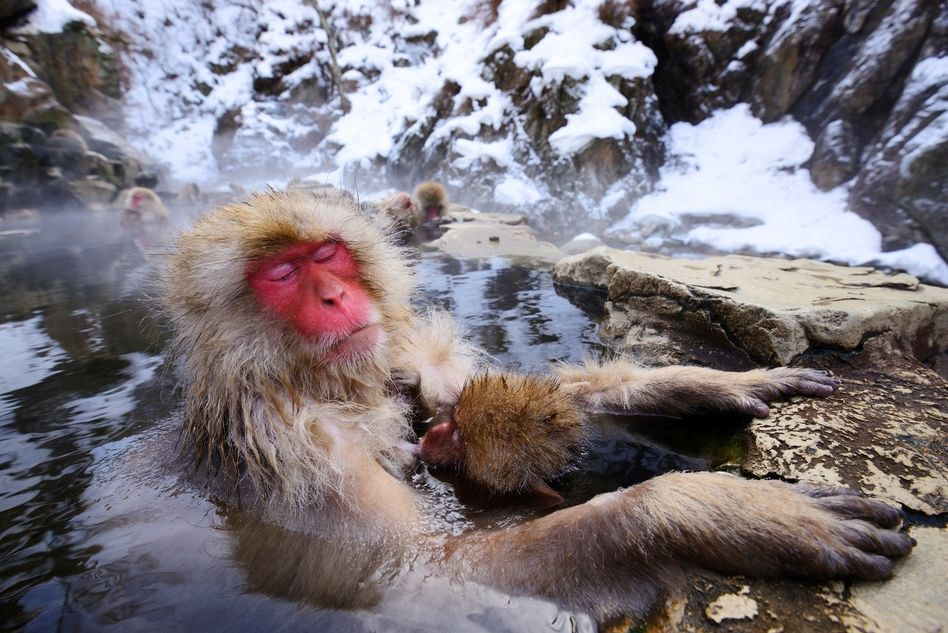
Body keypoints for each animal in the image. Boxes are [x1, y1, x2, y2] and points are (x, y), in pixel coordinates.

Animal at [159, 186, 913, 624]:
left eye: (328, 255)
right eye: (283, 274)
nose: (334, 296)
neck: (326, 383)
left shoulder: (411, 360)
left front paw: (712, 383)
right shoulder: (302, 451)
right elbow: (427, 572)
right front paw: (716, 510)